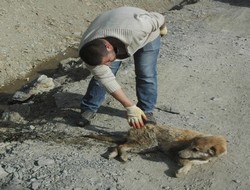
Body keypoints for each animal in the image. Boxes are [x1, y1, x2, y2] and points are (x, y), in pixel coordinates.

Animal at [84, 124, 227, 177]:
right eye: (191, 146)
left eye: (195, 149)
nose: (179, 153)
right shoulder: (174, 153)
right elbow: (188, 162)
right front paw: (183, 170)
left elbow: (192, 162)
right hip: (145, 143)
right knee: (121, 146)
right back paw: (122, 155)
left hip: (142, 147)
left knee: (118, 146)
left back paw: (113, 153)